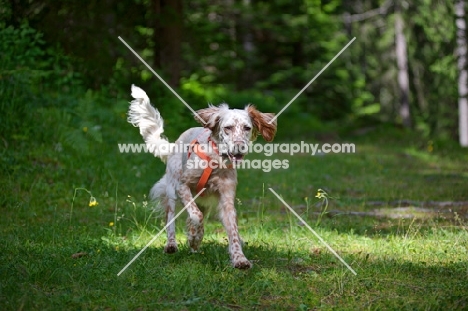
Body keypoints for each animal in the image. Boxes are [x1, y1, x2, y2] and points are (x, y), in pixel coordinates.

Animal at [128, 84, 276, 268]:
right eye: (228, 128)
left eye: (247, 128)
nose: (239, 147)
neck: (215, 159)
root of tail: (174, 145)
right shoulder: (182, 186)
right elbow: (195, 215)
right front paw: (195, 237)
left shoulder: (226, 199)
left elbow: (233, 231)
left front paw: (239, 258)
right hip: (171, 189)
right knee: (171, 218)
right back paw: (172, 244)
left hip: (201, 201)